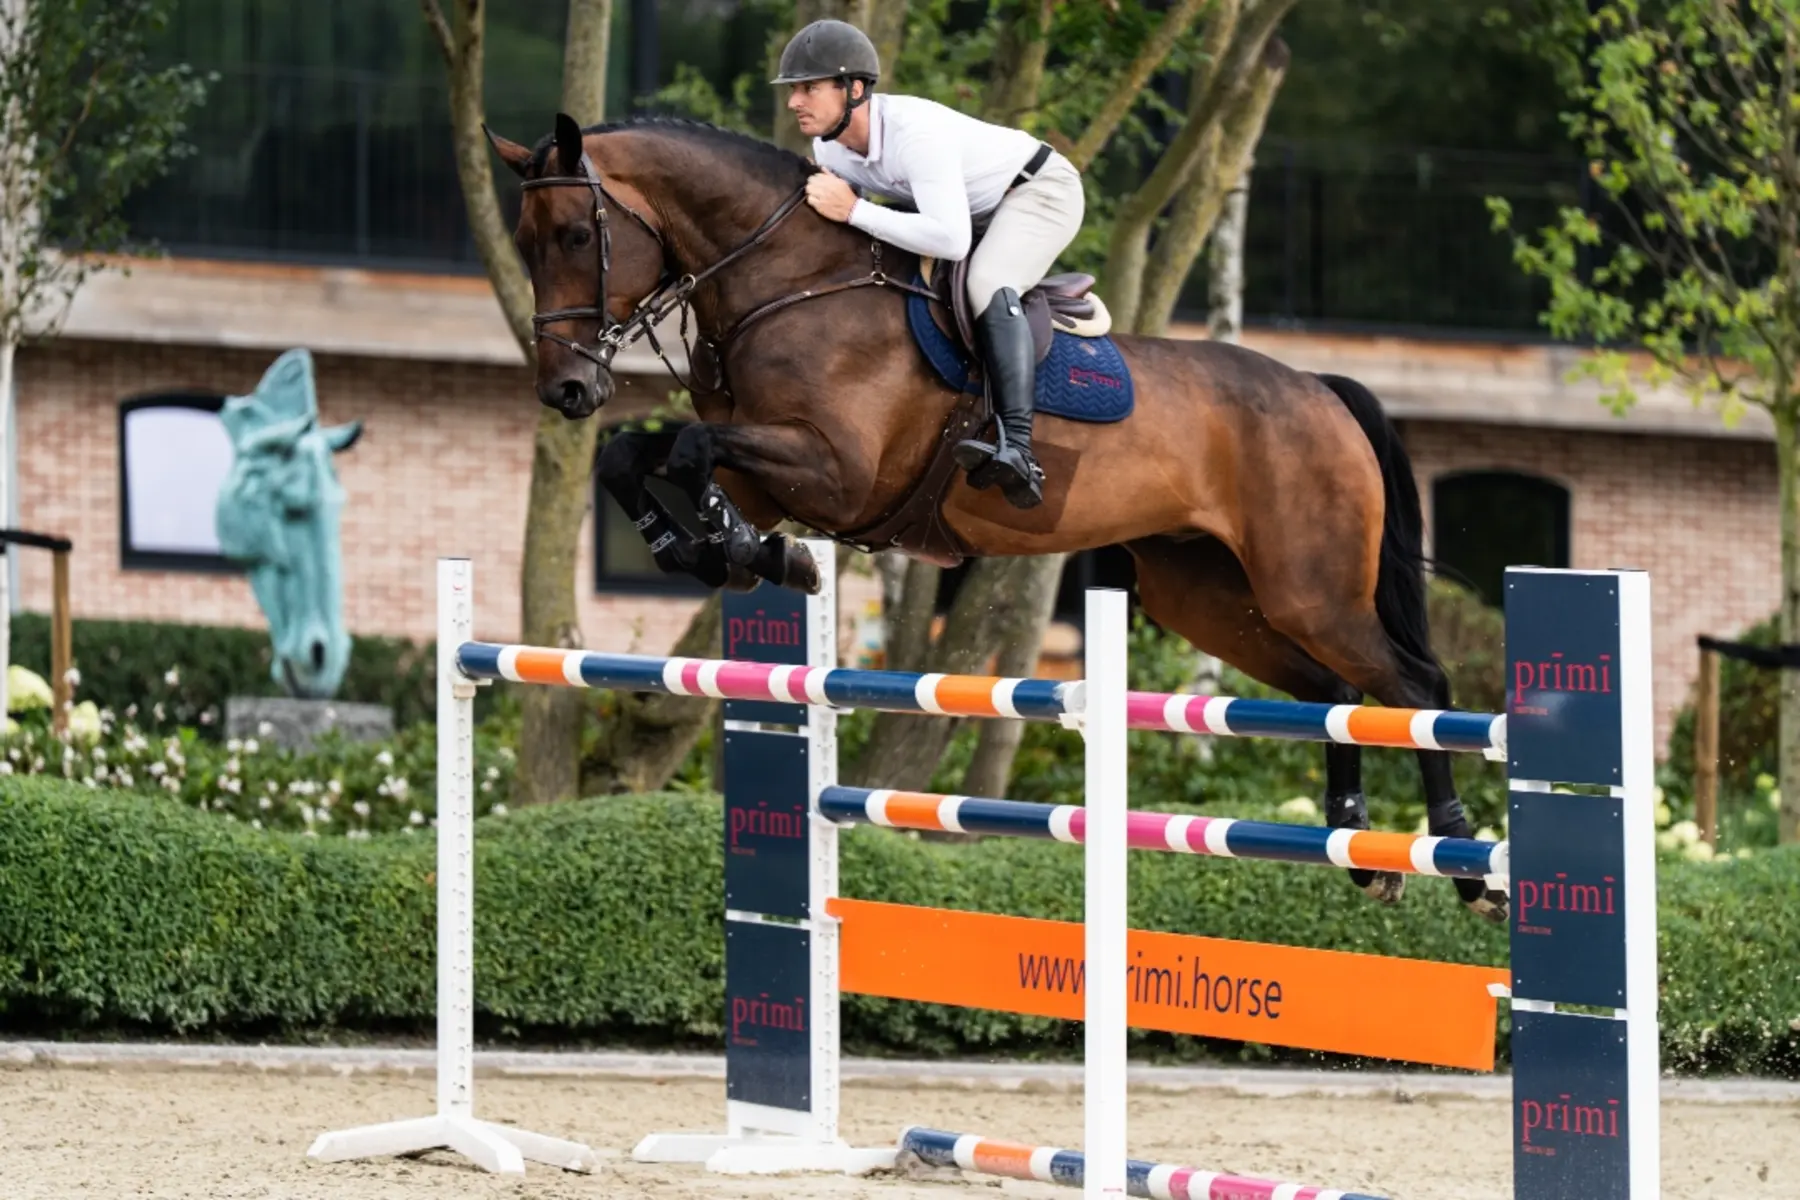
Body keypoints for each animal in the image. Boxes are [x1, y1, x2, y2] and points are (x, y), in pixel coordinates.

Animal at [481, 111, 1506, 923]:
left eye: (574, 233)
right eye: (525, 243)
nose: (567, 390)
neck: (789, 279)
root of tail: (1322, 390)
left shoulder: (835, 473)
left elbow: (693, 452)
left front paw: (746, 552)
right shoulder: (777, 472)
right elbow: (639, 456)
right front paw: (722, 550)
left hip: (1311, 588)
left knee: (1414, 685)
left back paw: (1465, 865)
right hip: (1216, 601)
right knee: (1327, 692)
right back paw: (1362, 852)